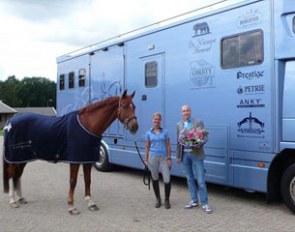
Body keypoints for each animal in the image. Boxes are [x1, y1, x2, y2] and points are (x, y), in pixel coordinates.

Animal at [2, 89, 139, 215]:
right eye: (124, 106)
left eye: (134, 106)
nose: (135, 127)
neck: (88, 125)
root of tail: (11, 122)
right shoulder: (75, 160)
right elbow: (73, 181)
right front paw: (72, 207)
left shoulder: (87, 159)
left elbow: (88, 180)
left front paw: (91, 203)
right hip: (14, 158)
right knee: (11, 174)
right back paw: (13, 201)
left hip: (22, 158)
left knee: (18, 175)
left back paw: (21, 198)